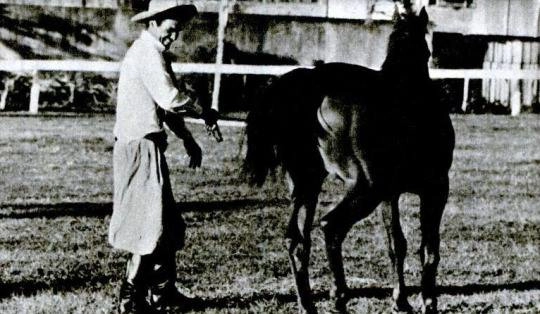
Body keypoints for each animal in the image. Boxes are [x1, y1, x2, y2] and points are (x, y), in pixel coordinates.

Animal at [245, 5, 456, 314]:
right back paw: (339, 296)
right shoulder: (436, 188)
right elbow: (429, 248)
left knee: (297, 240)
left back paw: (308, 304)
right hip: (364, 189)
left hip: (308, 185)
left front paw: (401, 301)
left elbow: (396, 245)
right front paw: (428, 302)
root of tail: (314, 83)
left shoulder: (389, 195)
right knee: (330, 227)